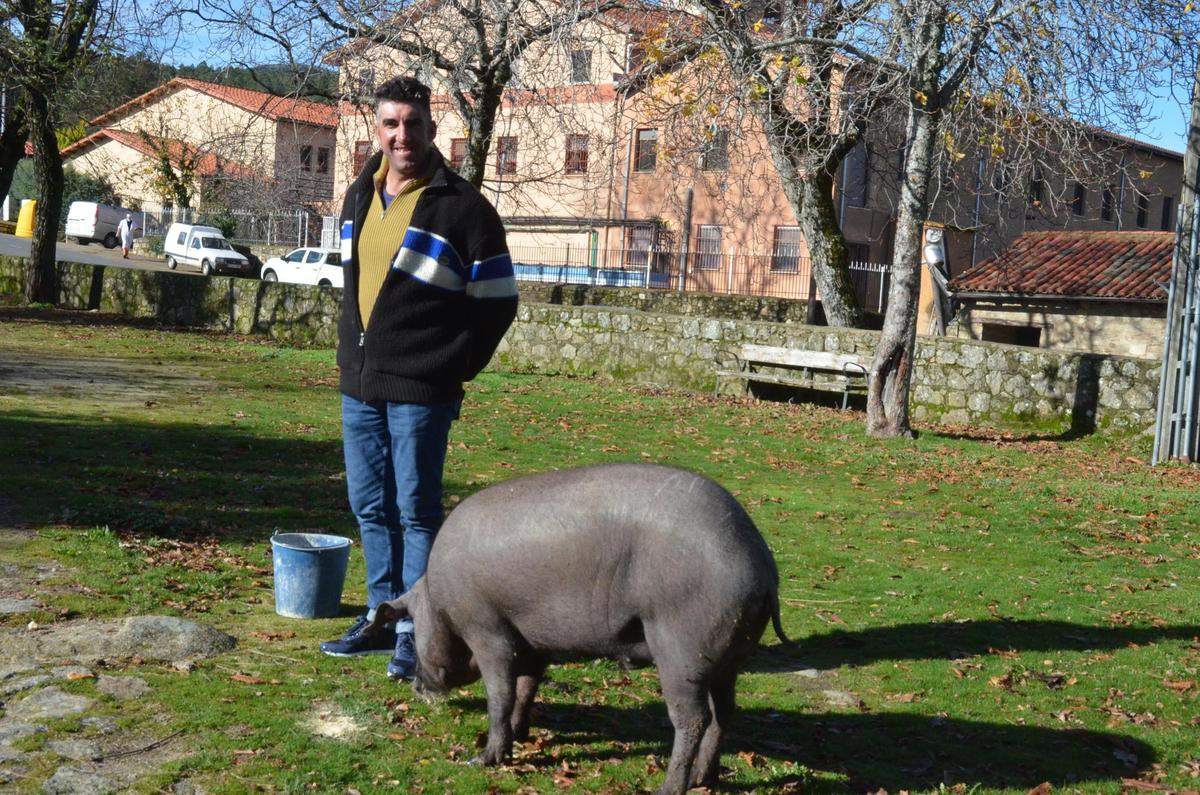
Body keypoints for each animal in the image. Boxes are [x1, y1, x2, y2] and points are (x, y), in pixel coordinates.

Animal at [364, 463, 787, 792]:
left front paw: (485, 758)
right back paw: (705, 779)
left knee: (693, 719)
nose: (415, 686)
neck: (440, 602)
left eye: (412, 629)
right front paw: (522, 735)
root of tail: (762, 566)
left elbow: (500, 693)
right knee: (724, 711)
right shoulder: (532, 641)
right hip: (728, 657)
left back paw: (667, 788)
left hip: (682, 651)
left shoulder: (488, 630)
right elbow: (526, 688)